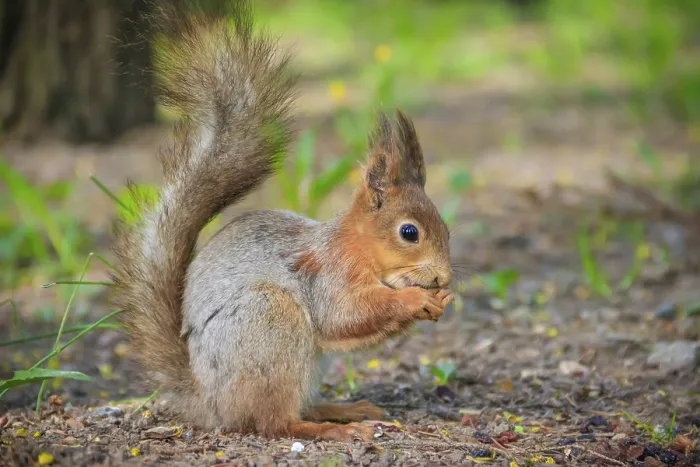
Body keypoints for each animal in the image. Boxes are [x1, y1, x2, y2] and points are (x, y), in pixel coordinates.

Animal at [111, 0, 454, 442]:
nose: (444, 277)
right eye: (409, 232)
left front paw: (439, 299)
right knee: (274, 421)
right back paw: (332, 429)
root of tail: (210, 403)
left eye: (447, 229)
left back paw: (344, 409)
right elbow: (345, 314)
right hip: (271, 322)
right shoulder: (330, 275)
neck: (356, 246)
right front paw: (416, 298)